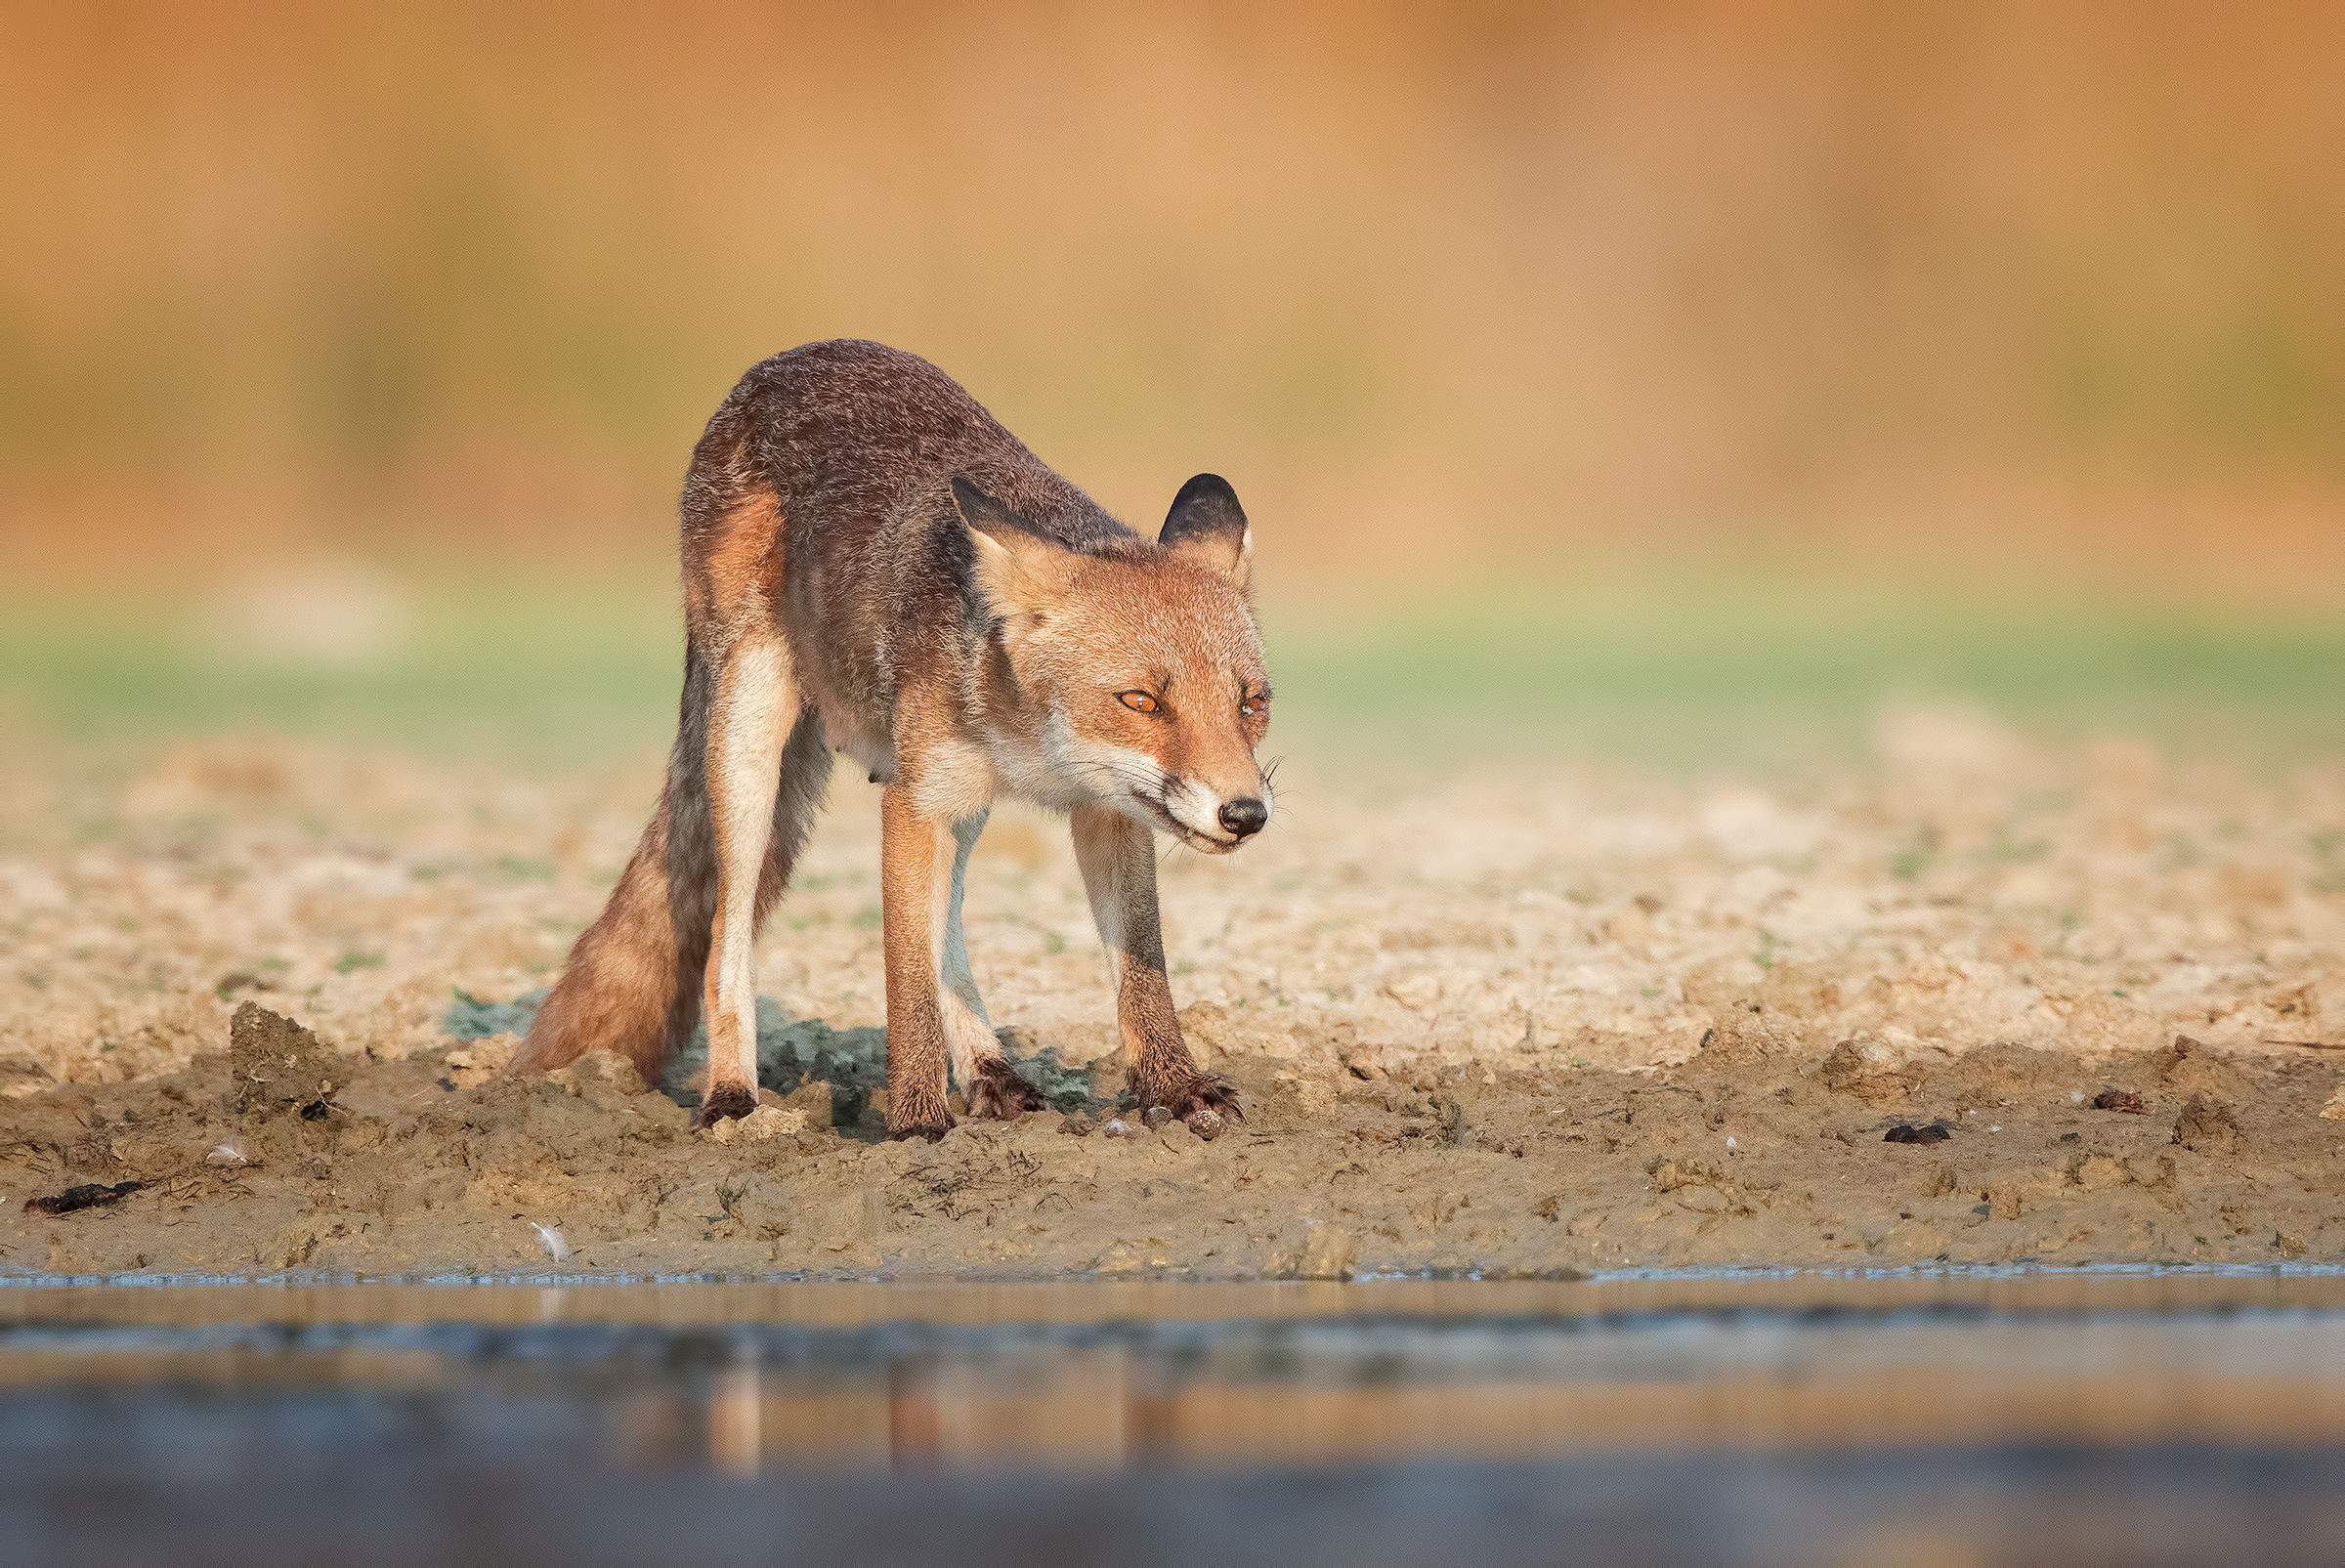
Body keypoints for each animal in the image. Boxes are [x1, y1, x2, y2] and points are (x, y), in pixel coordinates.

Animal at [506, 339, 1273, 1141]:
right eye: (1142, 701)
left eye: (1252, 703)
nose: (1246, 814)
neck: (1031, 747)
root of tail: (790, 358)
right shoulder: (914, 802)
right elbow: (905, 980)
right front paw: (915, 1119)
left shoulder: (1103, 813)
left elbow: (1141, 975)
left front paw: (1176, 1090)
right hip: (751, 744)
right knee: (724, 935)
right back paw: (732, 1096)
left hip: (953, 803)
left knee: (947, 926)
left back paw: (990, 1071)